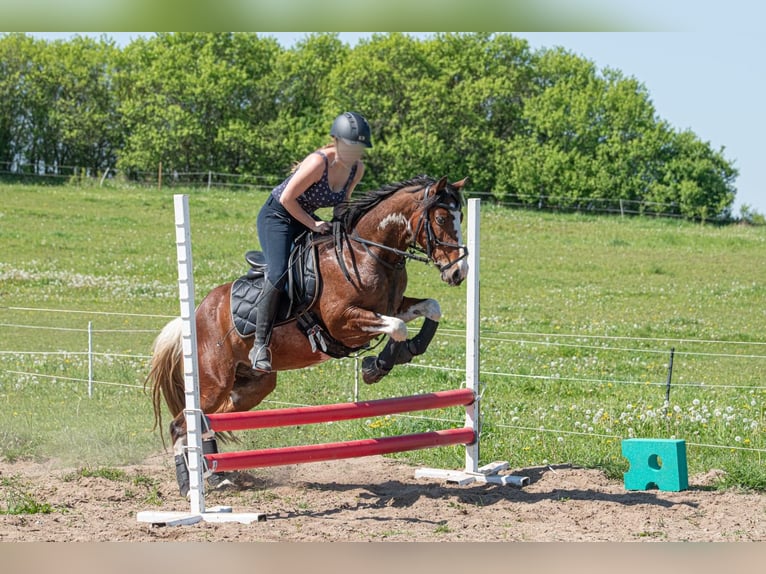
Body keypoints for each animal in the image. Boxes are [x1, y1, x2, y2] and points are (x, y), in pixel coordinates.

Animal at [143, 173, 468, 498]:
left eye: (462, 217)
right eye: (441, 218)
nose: (459, 272)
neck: (368, 253)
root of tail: (196, 314)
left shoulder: (393, 307)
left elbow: (431, 308)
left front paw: (397, 355)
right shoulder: (342, 322)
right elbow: (397, 327)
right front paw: (376, 367)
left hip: (251, 388)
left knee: (204, 421)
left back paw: (215, 477)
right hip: (215, 382)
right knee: (180, 425)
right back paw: (188, 486)